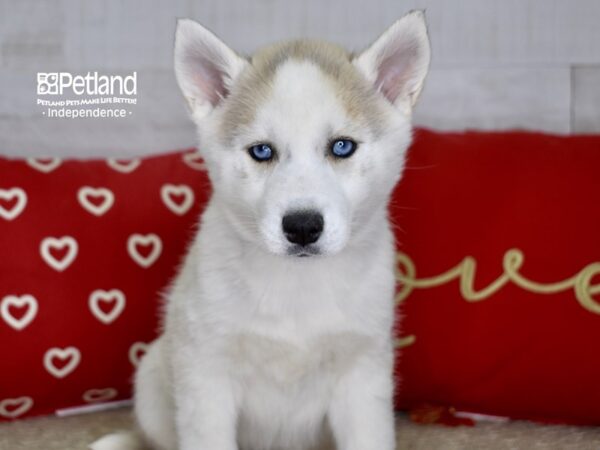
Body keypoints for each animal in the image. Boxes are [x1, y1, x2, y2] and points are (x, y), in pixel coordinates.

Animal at [90, 9, 426, 450]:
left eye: (342, 146)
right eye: (262, 151)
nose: (302, 227)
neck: (297, 287)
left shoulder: (362, 374)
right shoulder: (206, 375)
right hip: (152, 378)